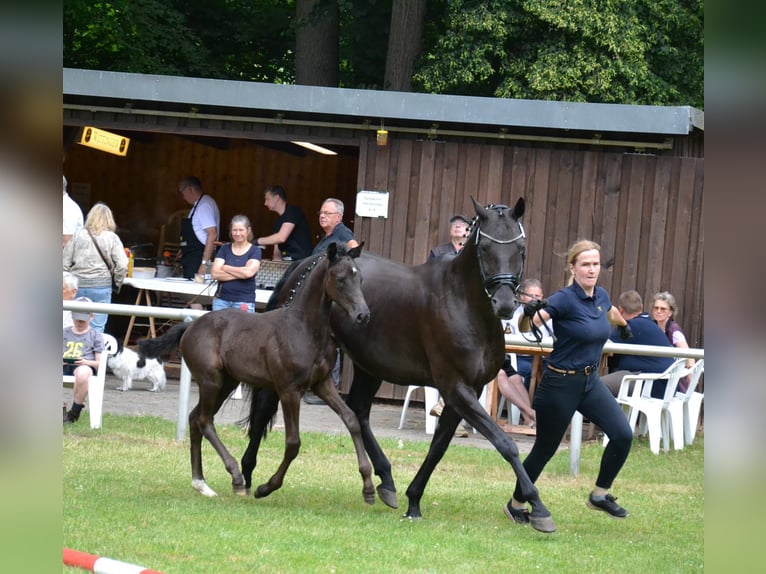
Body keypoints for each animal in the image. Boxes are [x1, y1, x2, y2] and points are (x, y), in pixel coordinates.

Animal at [139, 242, 376, 504]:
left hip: (227, 382)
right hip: (211, 381)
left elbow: (352, 420)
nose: (363, 315)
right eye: (340, 278)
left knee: (194, 419)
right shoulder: (289, 390)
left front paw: (368, 488)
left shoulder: (322, 384)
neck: (304, 328)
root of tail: (190, 326)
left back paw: (201, 484)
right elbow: (293, 442)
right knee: (204, 421)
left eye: (360, 278)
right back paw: (236, 477)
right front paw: (266, 487)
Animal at [242, 197, 557, 533]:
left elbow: (438, 447)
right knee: (265, 408)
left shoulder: (468, 390)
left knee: (359, 411)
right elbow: (505, 443)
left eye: (521, 247)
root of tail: (306, 264)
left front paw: (413, 500)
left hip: (369, 366)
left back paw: (386, 480)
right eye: (484, 247)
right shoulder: (456, 388)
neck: (463, 303)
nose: (506, 304)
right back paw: (247, 474)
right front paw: (538, 507)